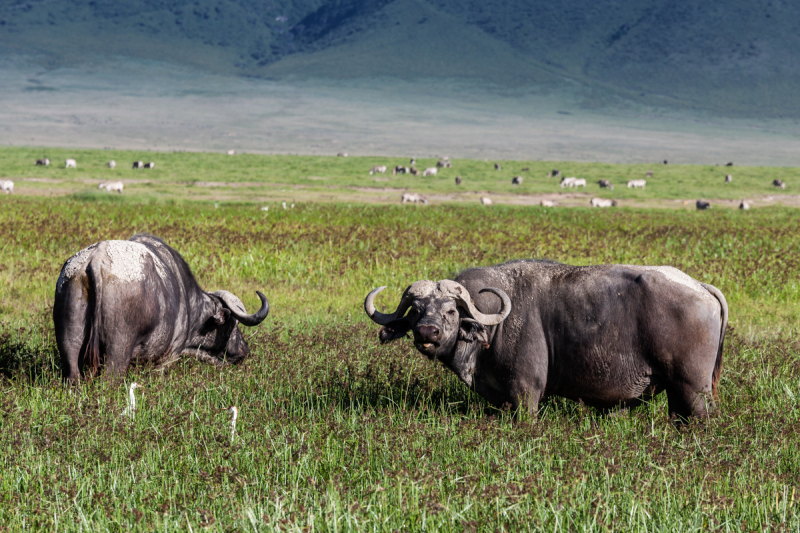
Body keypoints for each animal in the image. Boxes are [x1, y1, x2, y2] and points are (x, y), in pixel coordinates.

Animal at [55, 233, 272, 378]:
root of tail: (96, 260)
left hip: (69, 345)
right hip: (117, 352)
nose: (244, 350)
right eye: (234, 324)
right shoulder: (168, 357)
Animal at [366, 258, 728, 420]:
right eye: (416, 310)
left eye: (451, 310)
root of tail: (700, 286)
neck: (495, 326)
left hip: (692, 391)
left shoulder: (525, 395)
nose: (427, 333)